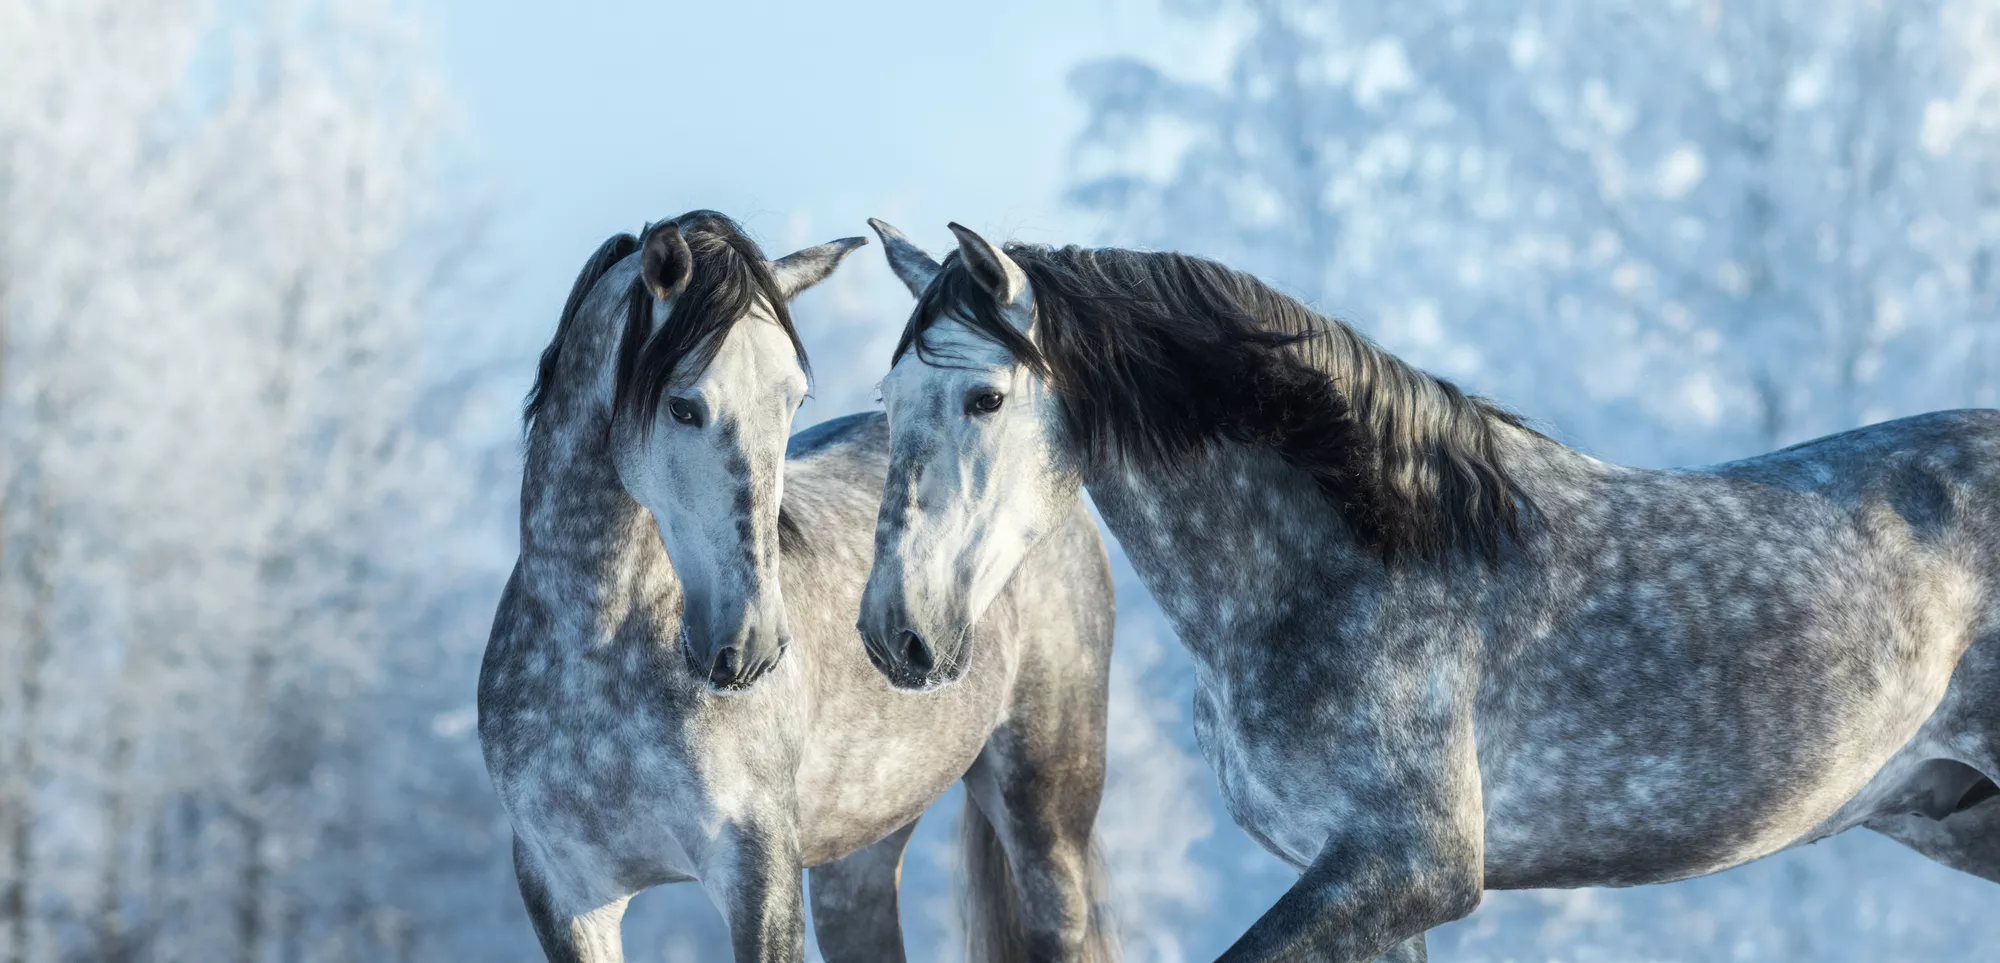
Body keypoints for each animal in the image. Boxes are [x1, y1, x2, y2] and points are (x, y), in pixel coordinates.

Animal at [477, 211, 1119, 963]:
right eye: (682, 406)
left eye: (793, 400)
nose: (748, 643)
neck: (594, 652)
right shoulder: (565, 893)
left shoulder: (759, 872)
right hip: (858, 857)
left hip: (1046, 812)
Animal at [854, 219, 2000, 963]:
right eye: (888, 401)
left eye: (984, 396)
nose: (895, 635)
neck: (1363, 558)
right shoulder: (1352, 876)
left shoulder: (1413, 866)